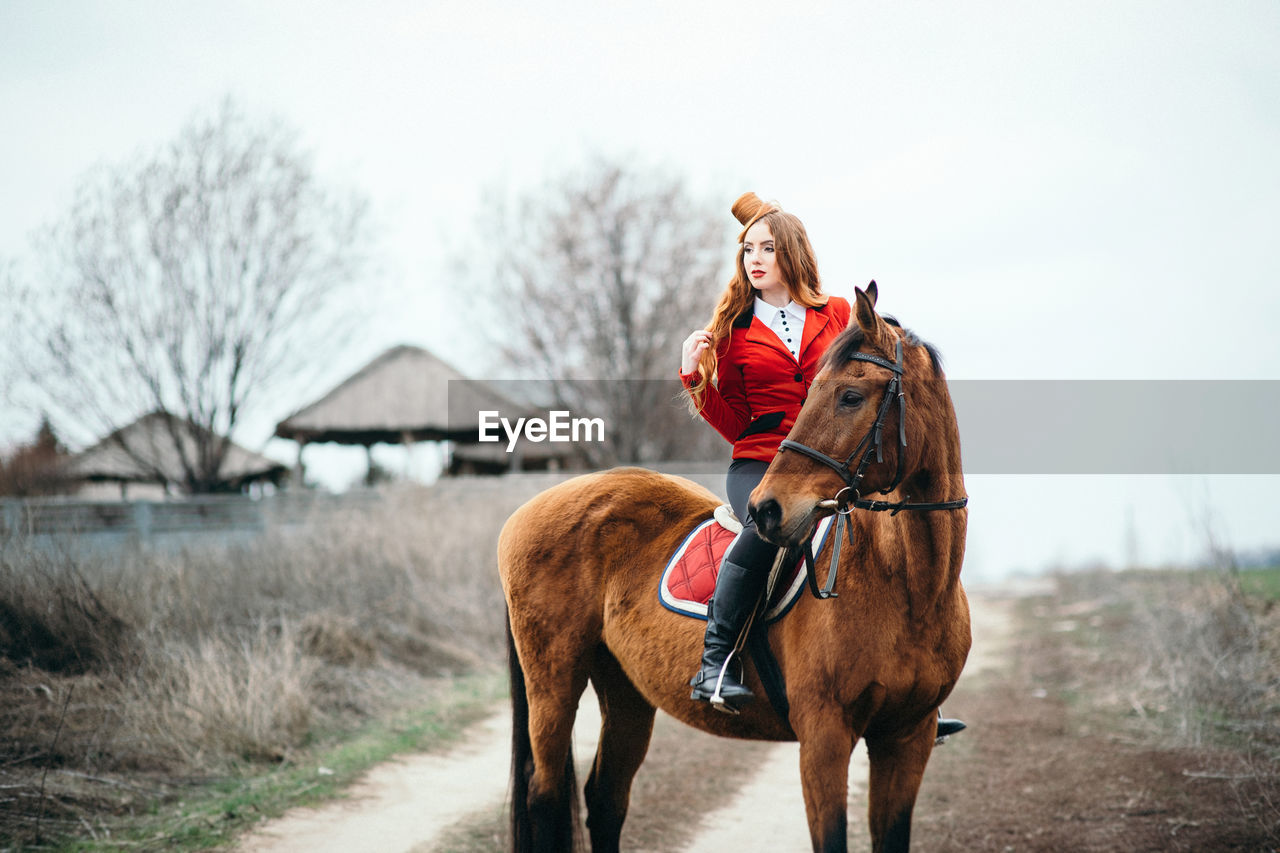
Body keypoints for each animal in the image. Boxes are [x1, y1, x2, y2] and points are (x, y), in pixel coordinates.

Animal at [499, 284, 967, 850]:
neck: (908, 586)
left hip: (624, 690)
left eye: (850, 397)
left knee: (606, 799)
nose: (766, 510)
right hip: (553, 682)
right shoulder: (825, 737)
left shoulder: (907, 738)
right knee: (545, 798)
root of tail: (527, 510)